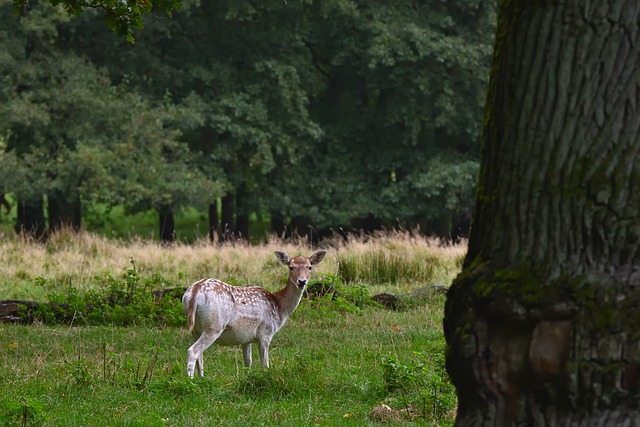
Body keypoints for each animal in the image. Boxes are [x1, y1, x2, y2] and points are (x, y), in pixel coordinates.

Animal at [182, 250, 327, 378]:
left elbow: (248, 362)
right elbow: (265, 364)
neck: (279, 305)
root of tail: (194, 292)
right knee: (193, 351)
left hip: (196, 329)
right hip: (214, 325)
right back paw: (190, 380)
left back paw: (202, 378)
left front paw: (247, 377)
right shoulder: (265, 332)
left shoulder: (246, 338)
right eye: (291, 267)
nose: (302, 281)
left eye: (309, 267)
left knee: (200, 355)